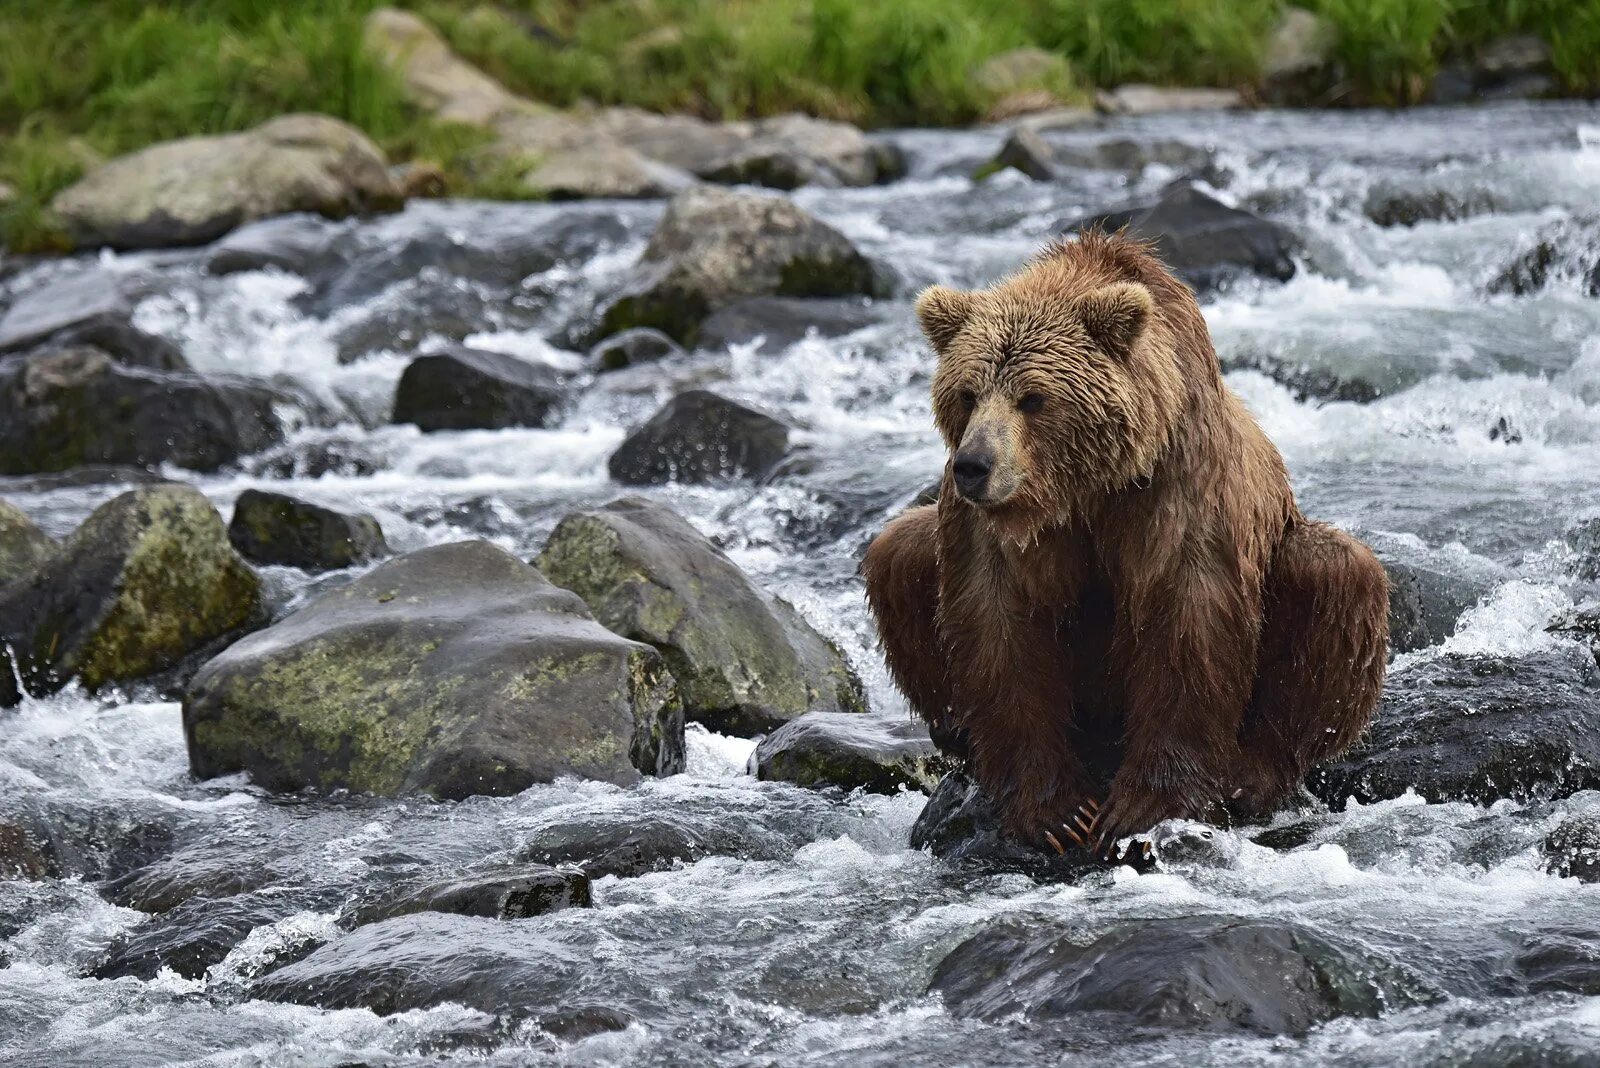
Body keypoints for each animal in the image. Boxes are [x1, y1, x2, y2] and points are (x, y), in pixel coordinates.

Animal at [864, 230, 1388, 856]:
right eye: (967, 394)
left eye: (1032, 398)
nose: (974, 465)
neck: (1083, 488)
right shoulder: (992, 529)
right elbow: (997, 627)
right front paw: (1058, 812)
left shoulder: (1179, 488)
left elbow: (1189, 621)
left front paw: (1144, 805)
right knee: (897, 552)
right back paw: (960, 738)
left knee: (1338, 576)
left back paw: (1252, 775)